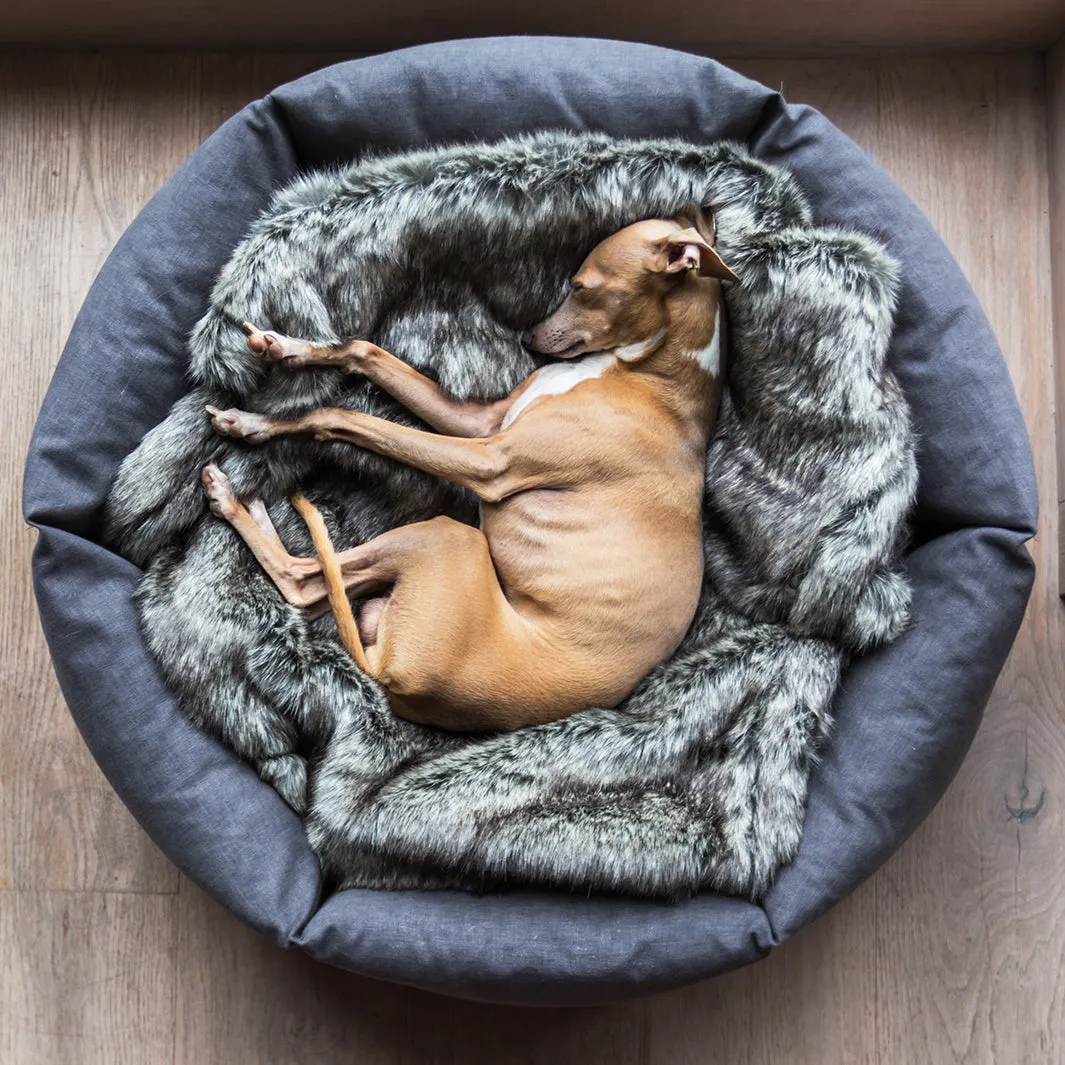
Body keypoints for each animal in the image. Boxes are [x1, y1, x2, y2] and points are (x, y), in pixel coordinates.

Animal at [200, 205, 736, 732]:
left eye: (581, 287)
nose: (527, 338)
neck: (650, 374)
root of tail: (390, 674)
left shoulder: (488, 460)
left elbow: (340, 416)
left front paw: (257, 423)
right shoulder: (480, 424)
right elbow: (363, 349)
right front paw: (289, 350)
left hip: (446, 538)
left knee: (302, 581)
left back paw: (231, 498)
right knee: (315, 589)